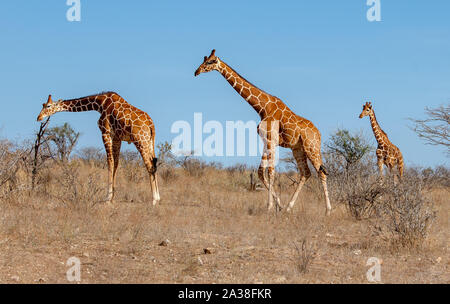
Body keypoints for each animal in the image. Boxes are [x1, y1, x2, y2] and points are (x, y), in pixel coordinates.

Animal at [195, 50, 332, 215]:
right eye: (204, 59)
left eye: (211, 61)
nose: (196, 71)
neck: (262, 108)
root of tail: (319, 134)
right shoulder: (265, 141)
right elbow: (261, 172)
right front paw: (279, 205)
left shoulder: (271, 140)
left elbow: (270, 172)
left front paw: (270, 206)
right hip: (298, 149)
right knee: (306, 173)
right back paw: (288, 207)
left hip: (311, 147)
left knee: (321, 172)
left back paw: (328, 211)